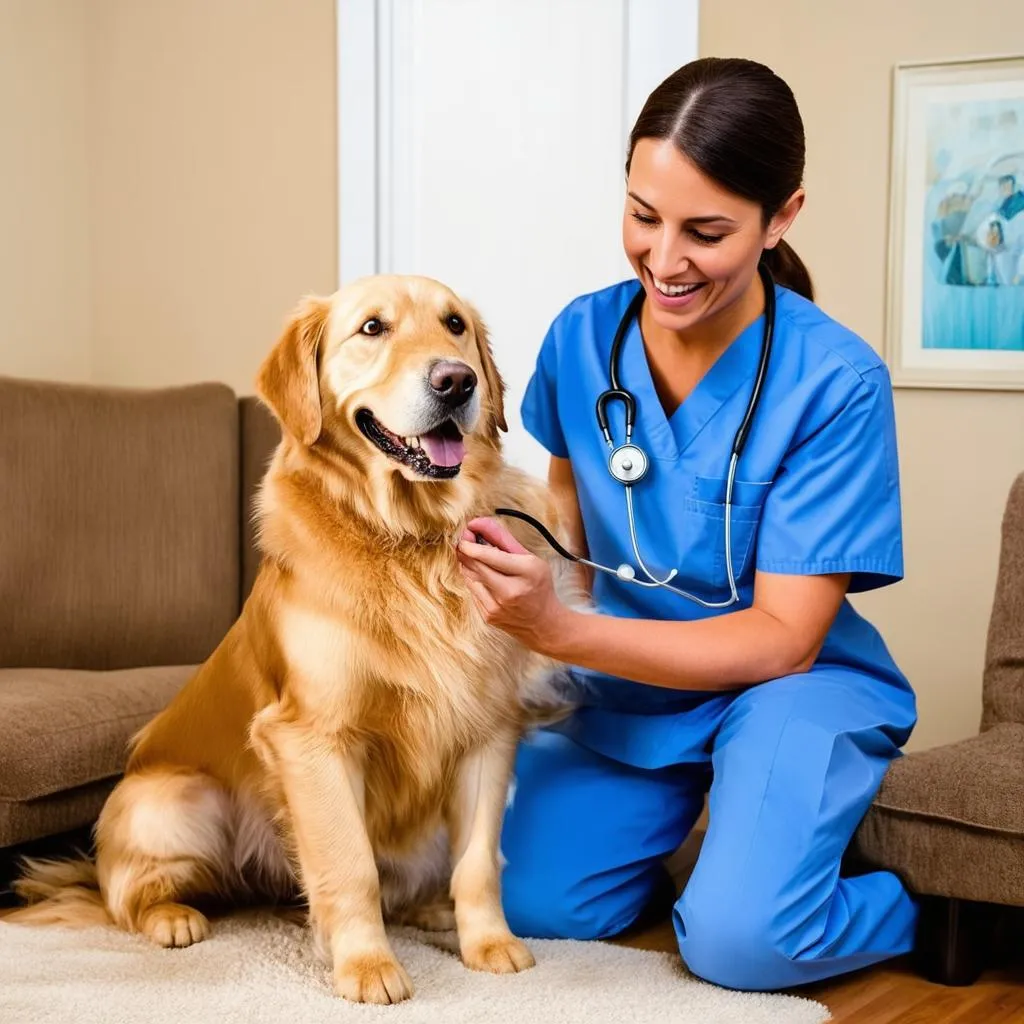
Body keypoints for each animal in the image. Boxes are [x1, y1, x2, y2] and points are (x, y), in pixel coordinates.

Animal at [9, 272, 569, 999]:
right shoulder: (311, 737)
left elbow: (477, 862)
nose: (457, 381)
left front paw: (490, 943)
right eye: (372, 328)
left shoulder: (488, 733)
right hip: (173, 799)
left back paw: (429, 909)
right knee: (122, 897)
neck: (409, 539)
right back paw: (172, 918)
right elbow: (350, 865)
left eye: (455, 326)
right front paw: (367, 965)